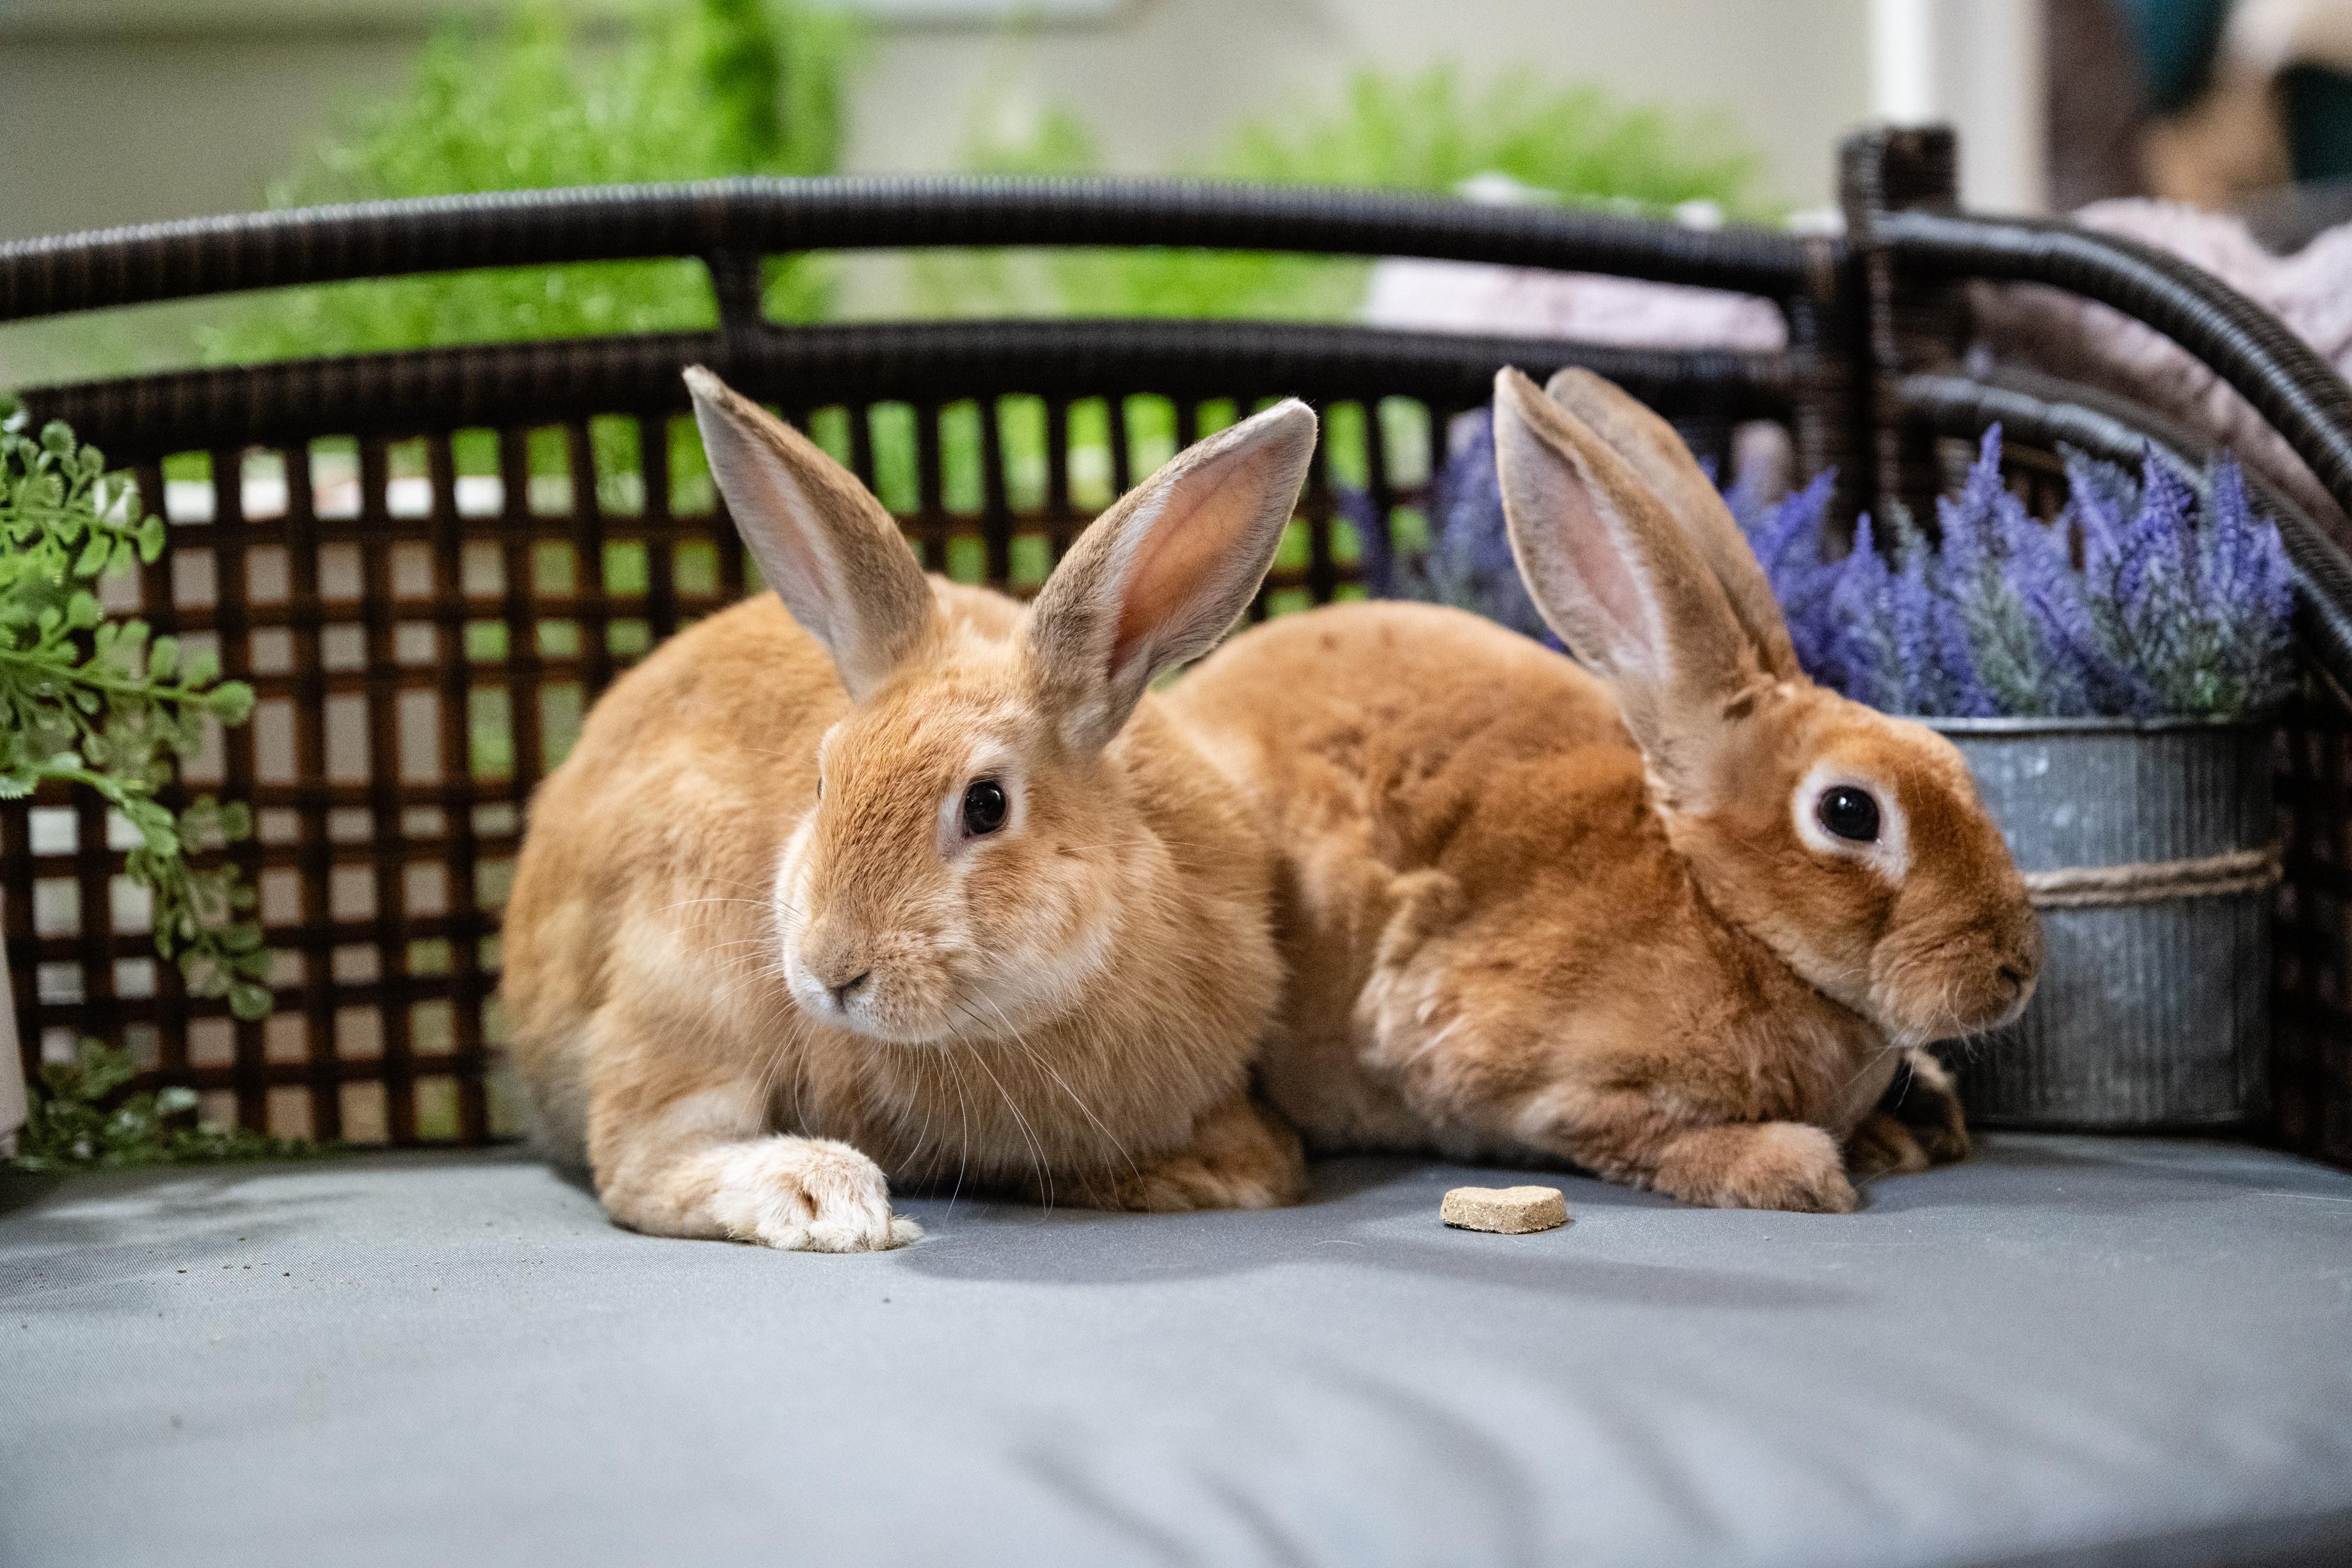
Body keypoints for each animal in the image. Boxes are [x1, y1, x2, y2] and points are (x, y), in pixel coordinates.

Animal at [501, 367, 1318, 1251]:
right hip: (682, 956)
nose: (831, 970)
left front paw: (1238, 1170)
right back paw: (829, 1197)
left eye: (987, 804)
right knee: (641, 1159)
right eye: (822, 783)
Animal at [1166, 366, 2039, 1213]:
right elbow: (1638, 1137)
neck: (1723, 914)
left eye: (1948, 756)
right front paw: (1794, 1169)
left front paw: (1900, 1131)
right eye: (1850, 811)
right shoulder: (1534, 1087)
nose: (2017, 970)